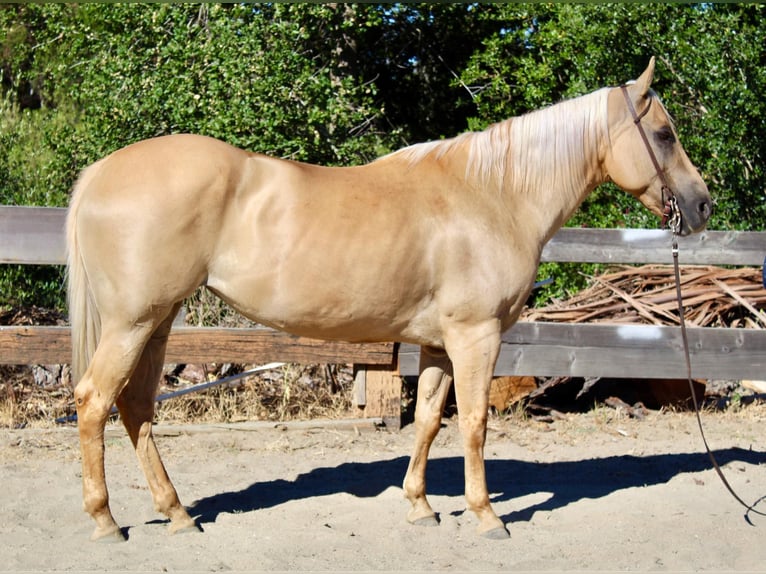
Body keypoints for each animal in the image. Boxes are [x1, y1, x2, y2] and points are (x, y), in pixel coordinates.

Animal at [66, 57, 711, 541]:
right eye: (664, 134)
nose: (701, 205)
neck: (494, 195)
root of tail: (99, 173)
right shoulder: (477, 336)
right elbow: (473, 422)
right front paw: (486, 515)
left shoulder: (440, 345)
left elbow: (426, 419)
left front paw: (420, 506)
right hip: (132, 323)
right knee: (95, 401)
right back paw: (106, 522)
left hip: (157, 322)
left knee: (136, 408)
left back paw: (177, 514)